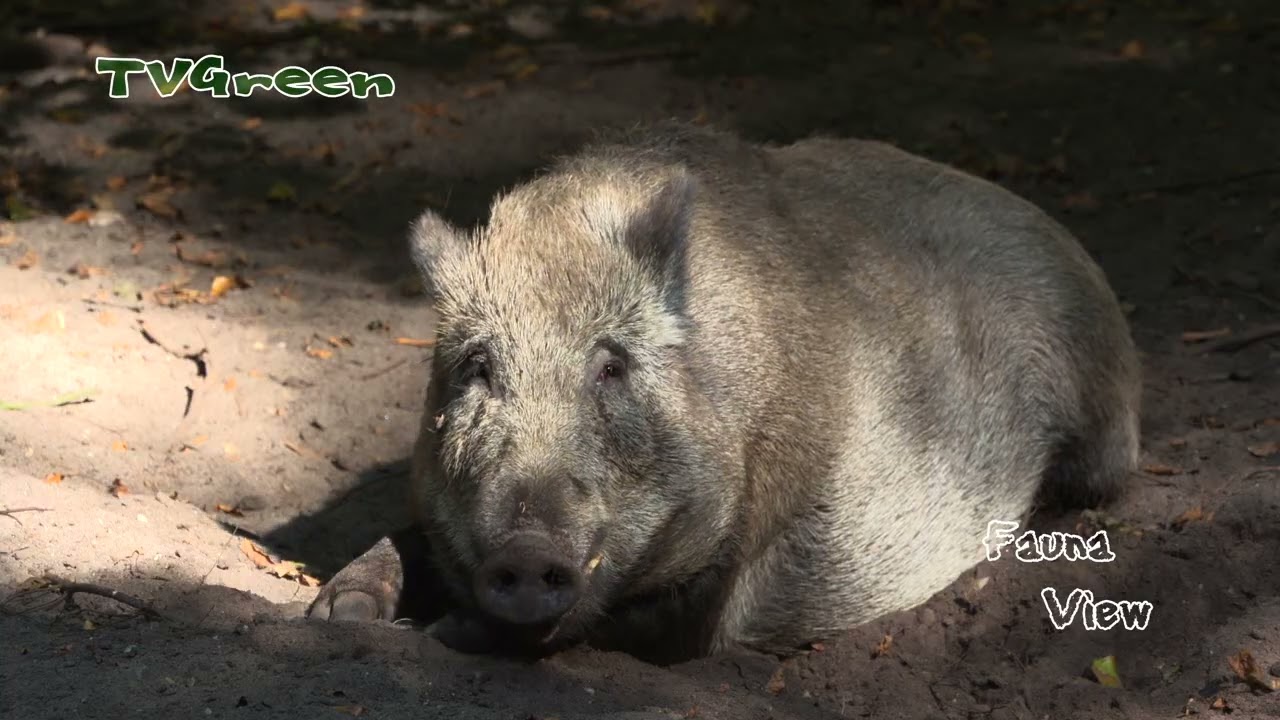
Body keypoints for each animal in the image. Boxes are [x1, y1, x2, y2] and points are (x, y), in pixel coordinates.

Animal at [306, 120, 1141, 663]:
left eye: (611, 367)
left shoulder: (739, 553)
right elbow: (405, 536)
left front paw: (437, 635)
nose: (526, 550)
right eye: (478, 366)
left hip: (1097, 420)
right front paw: (341, 615)